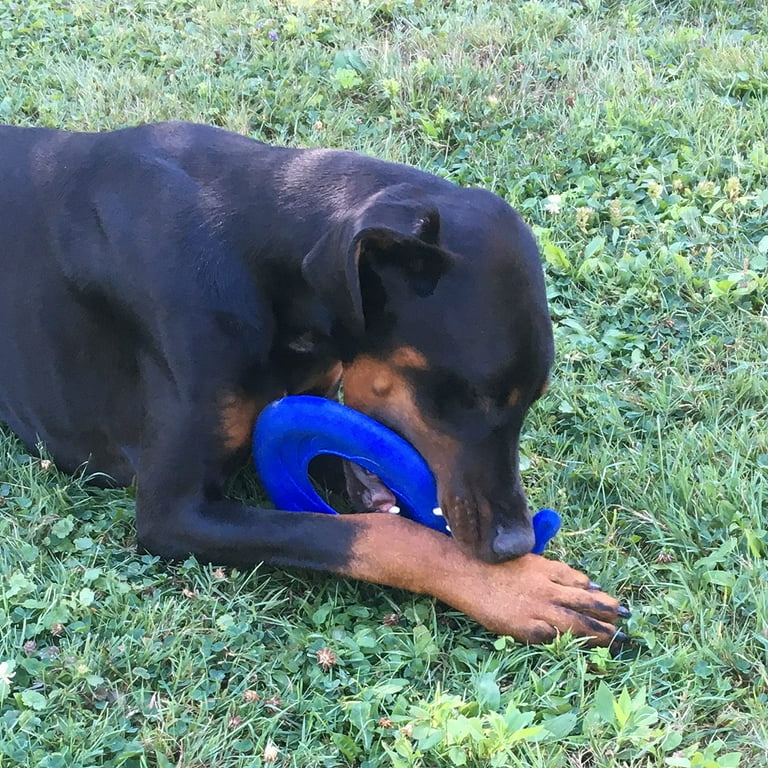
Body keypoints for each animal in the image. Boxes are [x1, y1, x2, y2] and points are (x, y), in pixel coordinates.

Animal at [0, 123, 628, 644]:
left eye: (531, 401)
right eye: (468, 396)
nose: (513, 544)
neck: (257, 251)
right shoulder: (174, 512)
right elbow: (376, 535)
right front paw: (525, 589)